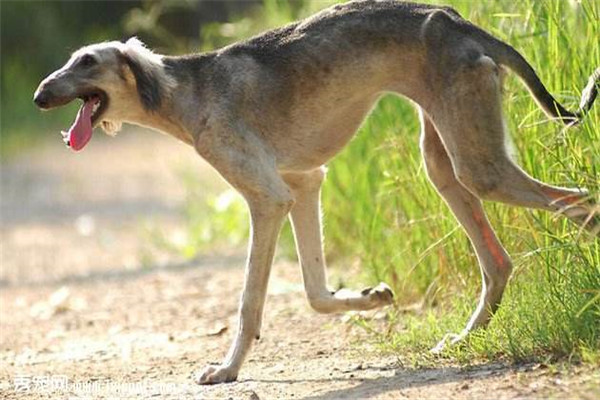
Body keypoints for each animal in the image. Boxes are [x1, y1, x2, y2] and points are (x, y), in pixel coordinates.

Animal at [35, 0, 596, 384]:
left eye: (87, 61)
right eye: (71, 60)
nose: (40, 94)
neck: (186, 90)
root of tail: (454, 18)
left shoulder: (268, 199)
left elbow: (250, 301)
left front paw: (227, 369)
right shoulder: (305, 185)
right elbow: (314, 291)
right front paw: (369, 297)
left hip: (479, 167)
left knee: (582, 204)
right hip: (445, 164)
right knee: (498, 262)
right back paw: (462, 337)